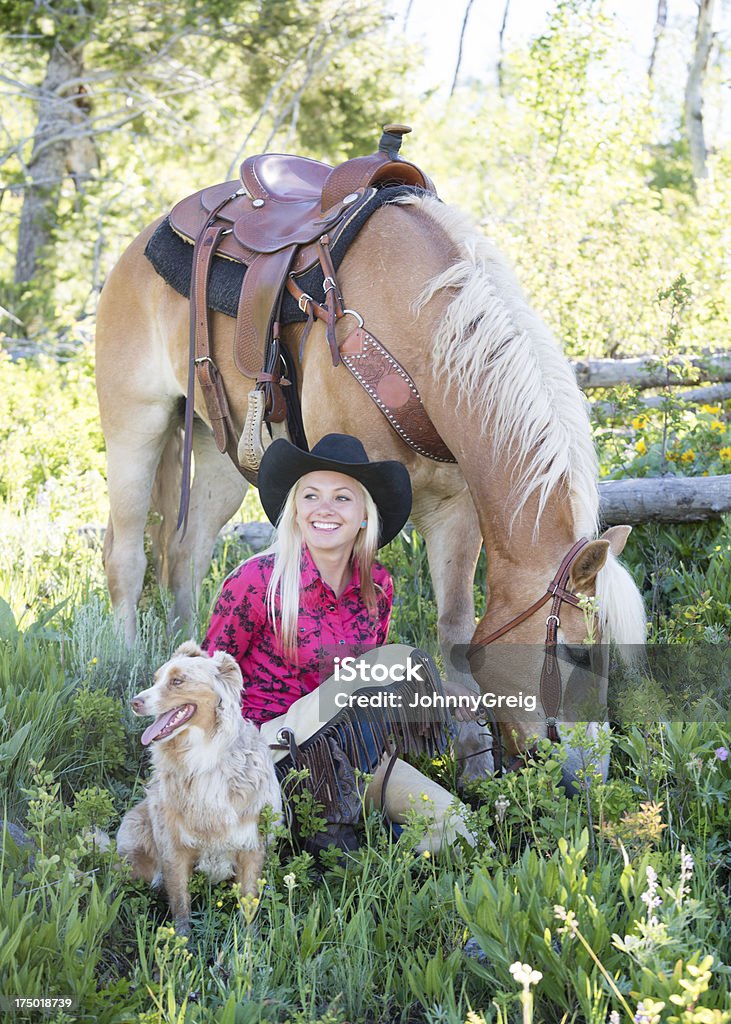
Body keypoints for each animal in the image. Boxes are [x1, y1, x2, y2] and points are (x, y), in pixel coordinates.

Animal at [95, 190, 642, 782]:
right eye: (578, 654)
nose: (592, 773)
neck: (424, 335)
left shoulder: (455, 510)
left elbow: (454, 627)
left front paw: (474, 763)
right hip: (135, 426)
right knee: (125, 557)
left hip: (216, 453)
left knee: (185, 554)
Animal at [116, 643, 278, 933]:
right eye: (155, 680)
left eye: (177, 681)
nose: (134, 702)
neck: (203, 754)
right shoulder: (173, 845)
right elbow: (181, 904)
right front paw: (182, 941)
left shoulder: (251, 845)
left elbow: (248, 904)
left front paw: (248, 943)